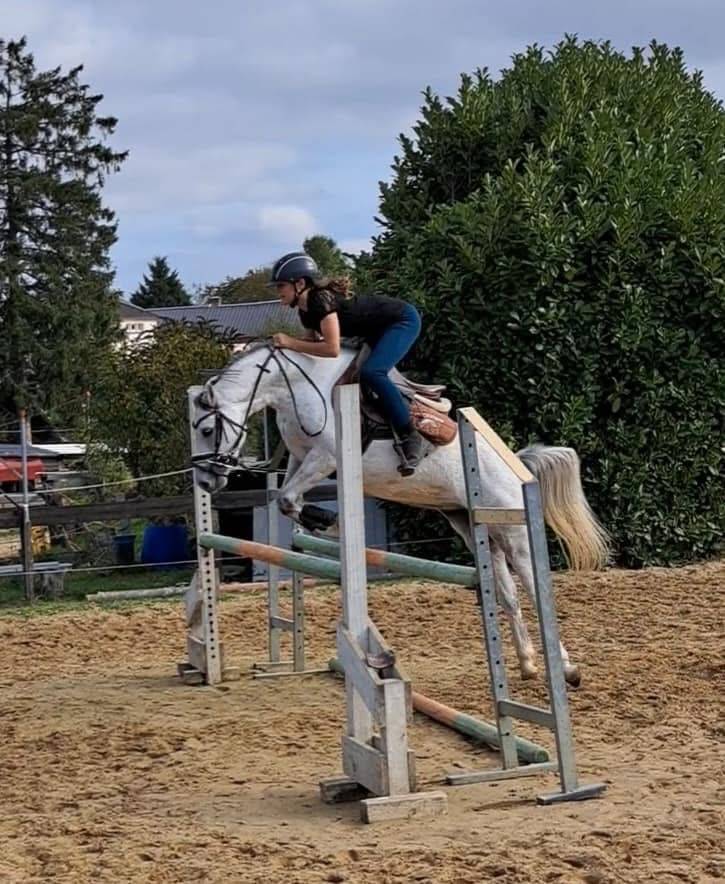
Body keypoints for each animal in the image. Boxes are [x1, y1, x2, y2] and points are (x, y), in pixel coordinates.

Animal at [191, 341, 610, 686]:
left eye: (208, 429)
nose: (206, 482)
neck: (298, 384)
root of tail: (516, 465)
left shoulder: (325, 458)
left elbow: (289, 499)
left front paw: (331, 523)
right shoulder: (300, 459)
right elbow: (284, 498)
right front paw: (323, 522)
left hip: (514, 531)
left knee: (534, 587)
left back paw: (567, 669)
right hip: (476, 527)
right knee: (507, 594)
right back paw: (527, 664)